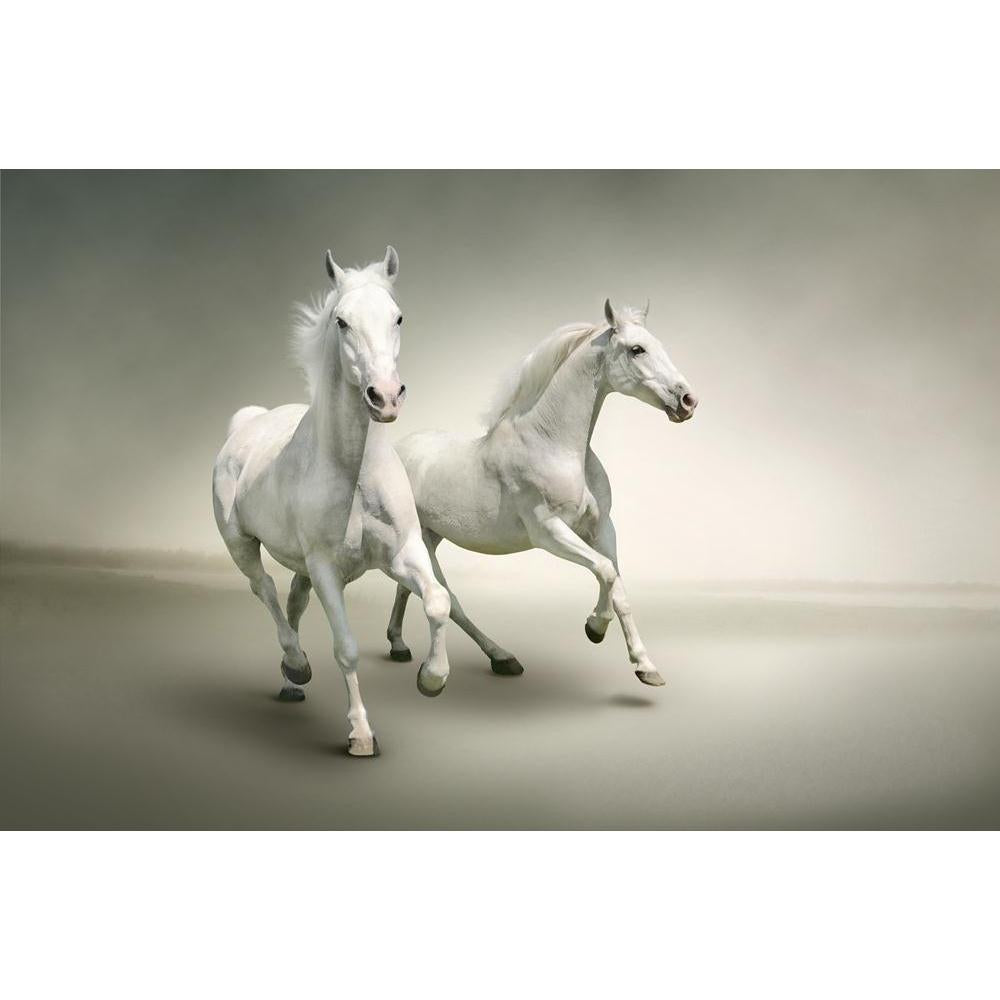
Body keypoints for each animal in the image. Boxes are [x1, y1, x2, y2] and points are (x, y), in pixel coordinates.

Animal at [212, 247, 451, 757]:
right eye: (342, 322)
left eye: (398, 317)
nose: (385, 396)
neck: (354, 473)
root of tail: (247, 423)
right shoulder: (326, 569)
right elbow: (347, 648)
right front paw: (361, 734)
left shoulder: (402, 553)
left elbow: (438, 601)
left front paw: (431, 678)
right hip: (240, 544)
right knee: (264, 589)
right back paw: (296, 664)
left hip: (300, 565)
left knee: (293, 600)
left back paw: (291, 680)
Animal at [385, 298, 697, 687]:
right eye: (637, 349)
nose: (687, 400)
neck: (554, 445)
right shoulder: (548, 532)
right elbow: (605, 572)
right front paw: (595, 627)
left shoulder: (601, 528)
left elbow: (618, 586)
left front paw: (645, 666)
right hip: (423, 542)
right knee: (448, 599)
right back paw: (497, 658)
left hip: (430, 537)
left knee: (408, 588)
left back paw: (399, 645)